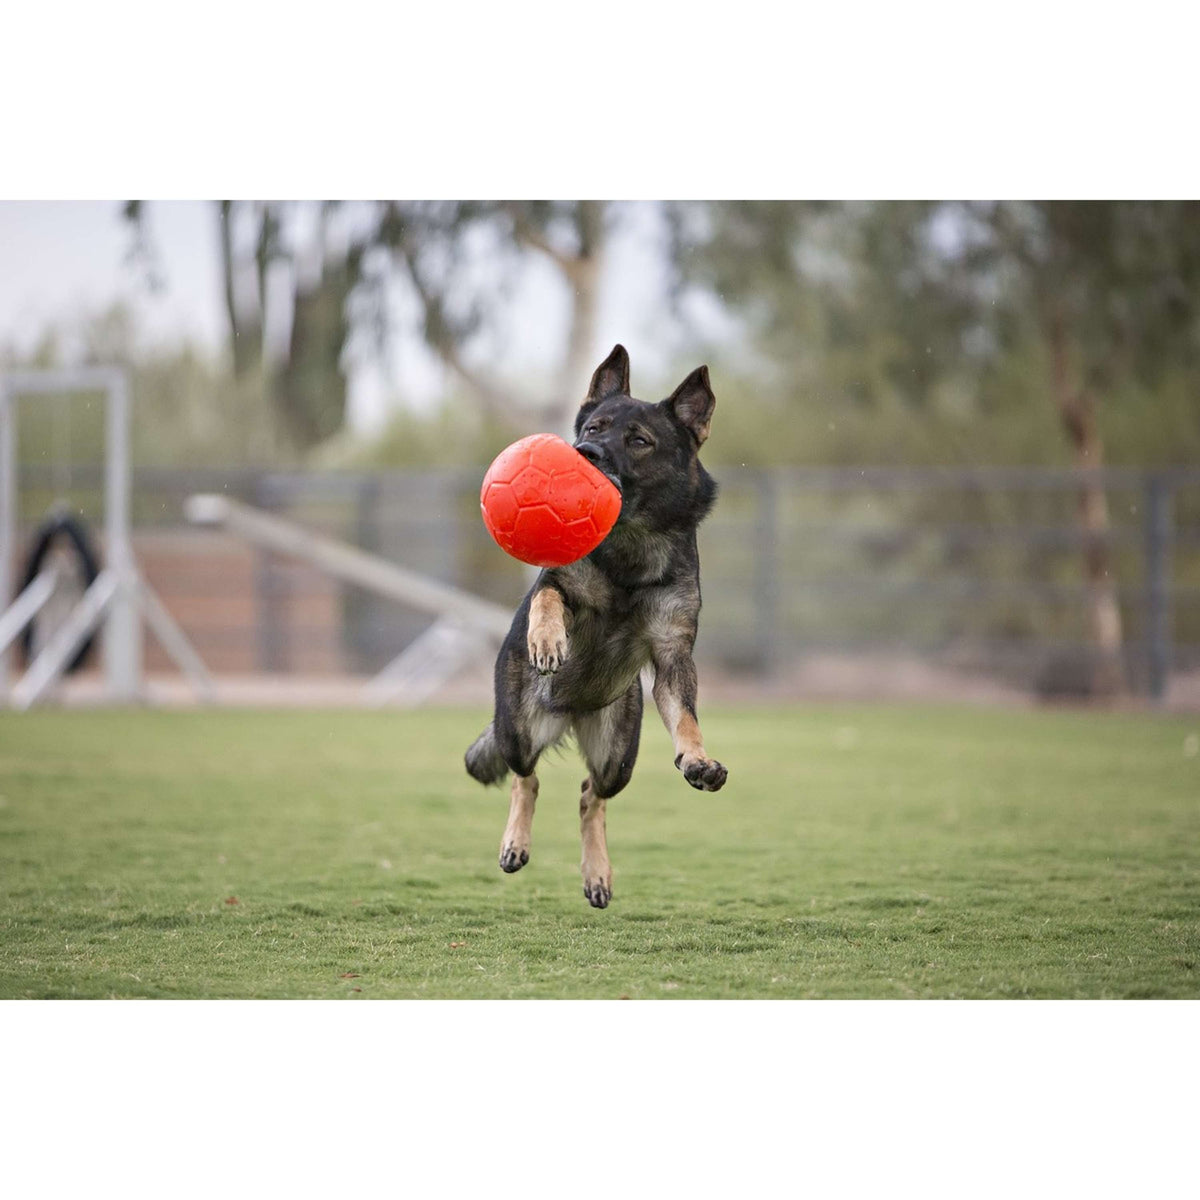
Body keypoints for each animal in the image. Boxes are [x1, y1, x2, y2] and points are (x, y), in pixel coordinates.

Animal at [463, 348, 724, 907]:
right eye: (594, 427)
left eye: (639, 441)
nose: (584, 452)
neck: (630, 548)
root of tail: (569, 713)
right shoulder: (557, 581)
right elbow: (547, 595)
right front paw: (547, 639)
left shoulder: (672, 657)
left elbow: (687, 719)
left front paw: (696, 759)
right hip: (517, 728)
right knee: (526, 778)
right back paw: (515, 842)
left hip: (616, 756)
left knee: (590, 795)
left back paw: (597, 874)